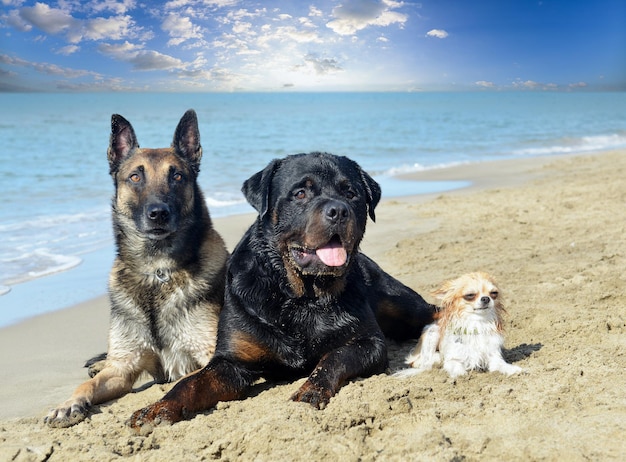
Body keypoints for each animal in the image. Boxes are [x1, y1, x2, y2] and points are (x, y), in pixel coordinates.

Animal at [45, 110, 228, 428]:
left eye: (177, 176)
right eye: (135, 177)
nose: (158, 213)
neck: (157, 272)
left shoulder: (209, 358)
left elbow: (188, 380)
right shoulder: (123, 369)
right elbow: (87, 384)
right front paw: (67, 404)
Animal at [126, 152, 428, 430]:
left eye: (351, 193)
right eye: (300, 193)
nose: (339, 210)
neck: (301, 297)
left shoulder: (369, 342)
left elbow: (334, 357)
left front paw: (311, 390)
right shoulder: (231, 362)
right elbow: (190, 384)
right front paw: (156, 408)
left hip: (399, 303)